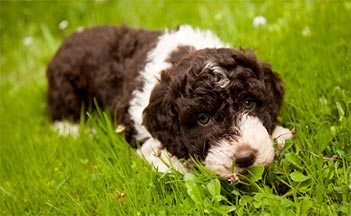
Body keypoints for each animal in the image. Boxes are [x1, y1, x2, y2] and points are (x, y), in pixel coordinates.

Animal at [46, 24, 294, 181]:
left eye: (249, 103)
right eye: (204, 119)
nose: (245, 157)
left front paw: (280, 135)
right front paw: (173, 166)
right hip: (65, 90)